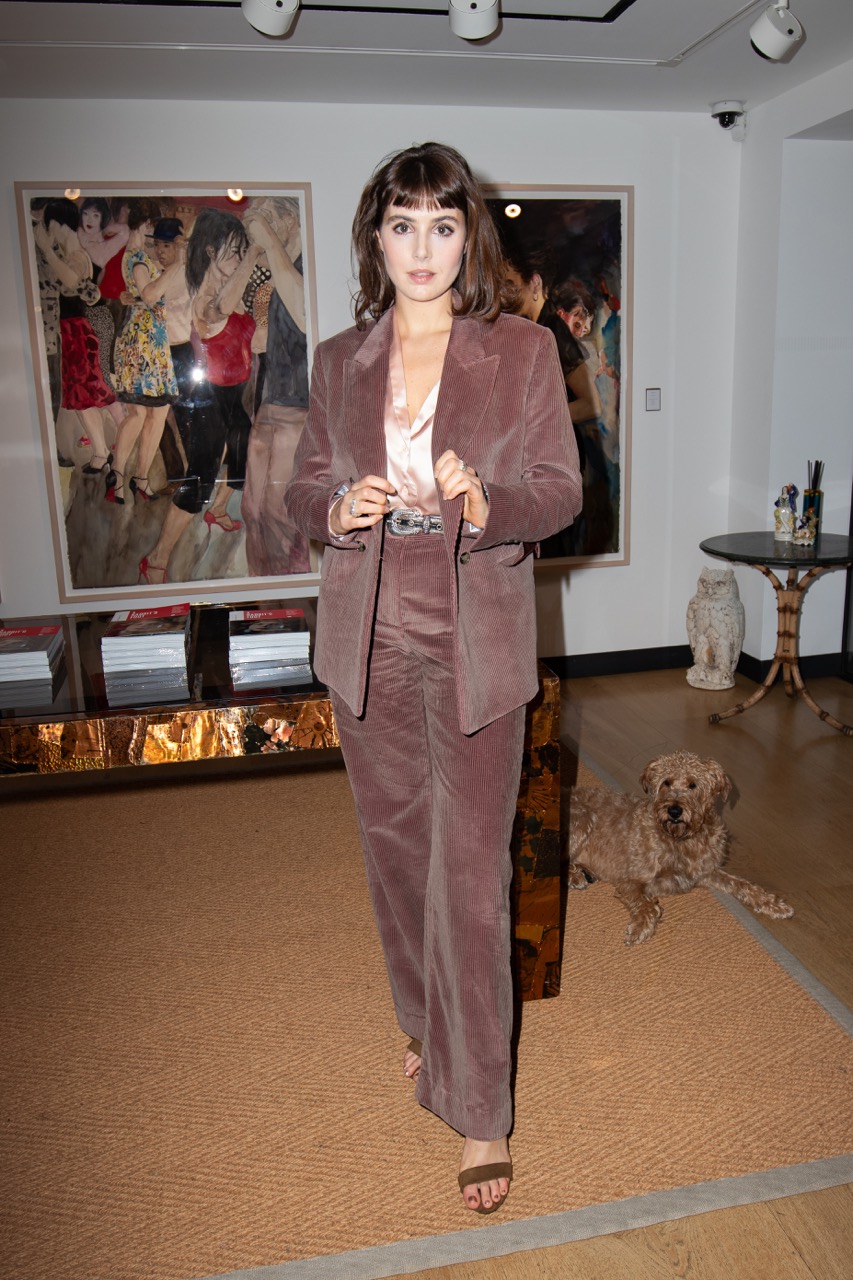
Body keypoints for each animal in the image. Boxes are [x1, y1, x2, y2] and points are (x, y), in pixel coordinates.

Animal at [567, 749, 793, 944]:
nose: (674, 811)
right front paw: (638, 929)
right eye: (666, 782)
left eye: (693, 785)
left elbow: (742, 884)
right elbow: (650, 907)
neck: (682, 839)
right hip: (584, 818)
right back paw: (577, 876)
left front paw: (774, 904)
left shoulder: (705, 871)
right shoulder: (631, 880)